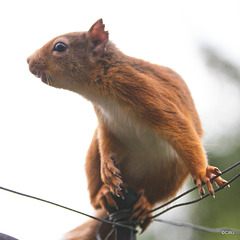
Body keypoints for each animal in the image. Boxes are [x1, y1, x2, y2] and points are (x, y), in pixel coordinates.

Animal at [27, 19, 226, 240]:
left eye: (60, 47)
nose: (28, 61)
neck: (100, 92)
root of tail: (133, 185)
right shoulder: (106, 123)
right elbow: (107, 143)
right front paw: (107, 167)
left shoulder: (147, 92)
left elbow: (179, 128)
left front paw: (202, 173)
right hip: (94, 158)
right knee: (96, 197)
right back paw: (103, 193)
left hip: (173, 171)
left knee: (154, 194)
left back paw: (145, 205)